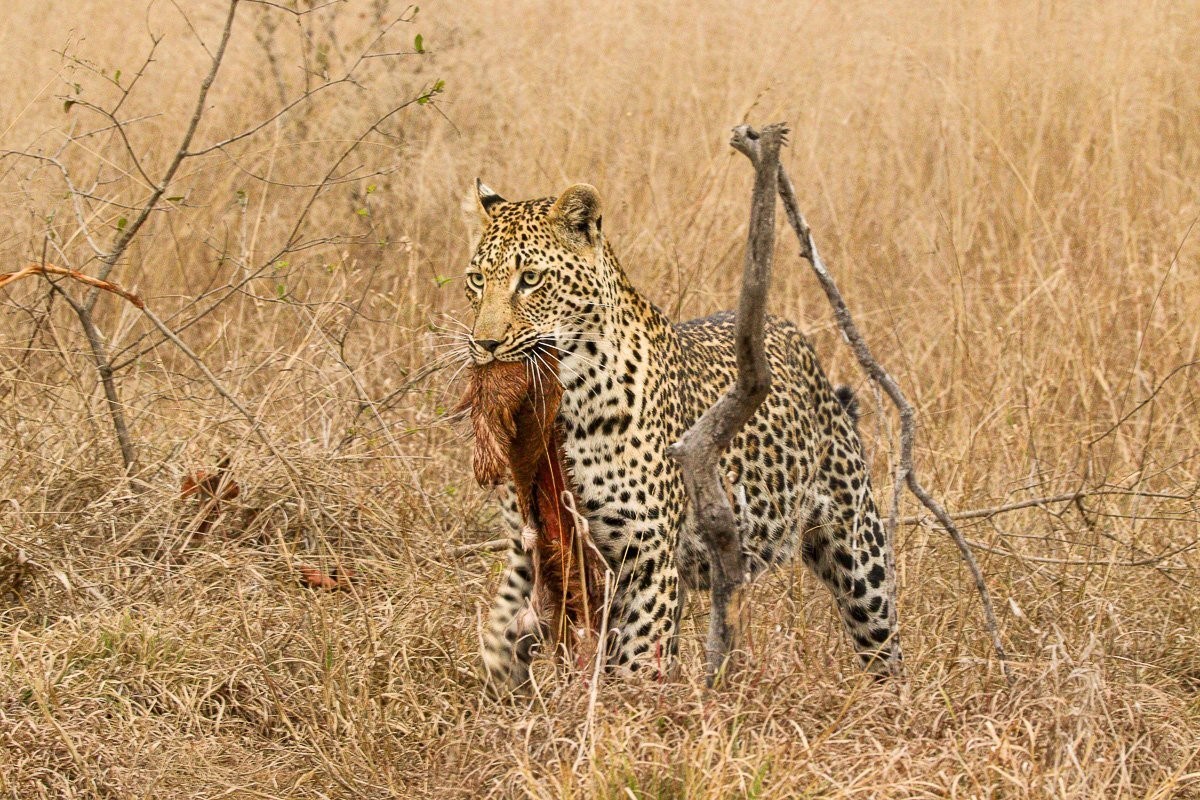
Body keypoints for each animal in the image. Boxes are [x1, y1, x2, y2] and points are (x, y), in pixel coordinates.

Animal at [464, 180, 901, 694]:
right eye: (476, 279)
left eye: (530, 279)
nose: (484, 345)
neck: (568, 407)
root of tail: (800, 341)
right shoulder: (528, 547)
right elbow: (501, 635)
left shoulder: (646, 557)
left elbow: (636, 660)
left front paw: (627, 711)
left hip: (858, 550)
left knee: (882, 639)